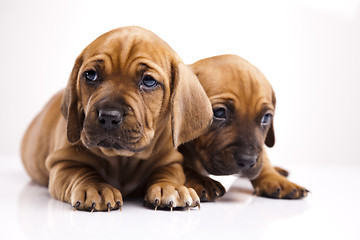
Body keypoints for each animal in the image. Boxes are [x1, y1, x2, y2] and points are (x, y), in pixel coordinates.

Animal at [21, 25, 212, 210]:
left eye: (149, 81)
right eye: (91, 75)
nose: (108, 116)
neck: (123, 159)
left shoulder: (170, 161)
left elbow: (168, 173)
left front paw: (170, 187)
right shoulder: (64, 161)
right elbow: (82, 172)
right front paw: (96, 188)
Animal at [181, 54, 308, 201]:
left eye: (266, 118)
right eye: (219, 112)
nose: (247, 161)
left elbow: (263, 160)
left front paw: (274, 178)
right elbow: (183, 166)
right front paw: (200, 180)